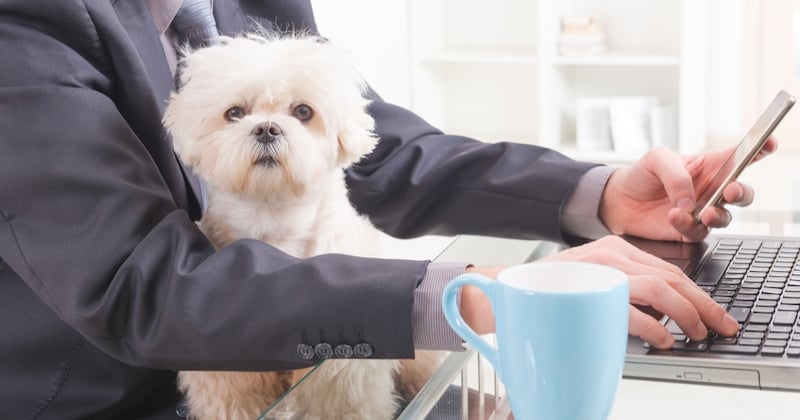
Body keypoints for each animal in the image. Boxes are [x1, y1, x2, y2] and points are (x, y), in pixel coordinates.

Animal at [162, 35, 438, 420]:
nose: (266, 128)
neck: (274, 223)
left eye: (303, 112)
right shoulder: (225, 373)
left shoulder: (341, 375)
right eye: (235, 113)